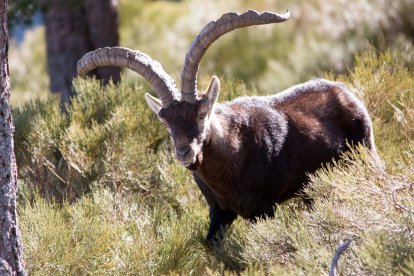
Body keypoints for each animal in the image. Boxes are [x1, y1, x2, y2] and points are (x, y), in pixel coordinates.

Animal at [77, 9, 378, 242]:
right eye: (166, 121)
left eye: (202, 114)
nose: (185, 153)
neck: (231, 156)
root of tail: (347, 93)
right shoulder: (219, 214)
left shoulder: (263, 209)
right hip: (313, 191)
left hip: (366, 156)